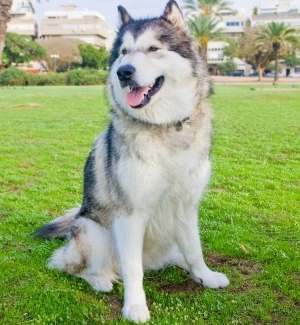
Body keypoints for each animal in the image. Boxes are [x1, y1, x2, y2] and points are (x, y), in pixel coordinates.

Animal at [37, 1, 230, 322]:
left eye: (153, 48)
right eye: (124, 52)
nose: (124, 72)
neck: (164, 128)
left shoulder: (186, 207)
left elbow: (195, 250)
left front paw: (205, 275)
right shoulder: (130, 214)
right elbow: (132, 269)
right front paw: (135, 306)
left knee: (176, 254)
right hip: (94, 231)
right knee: (72, 266)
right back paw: (101, 279)